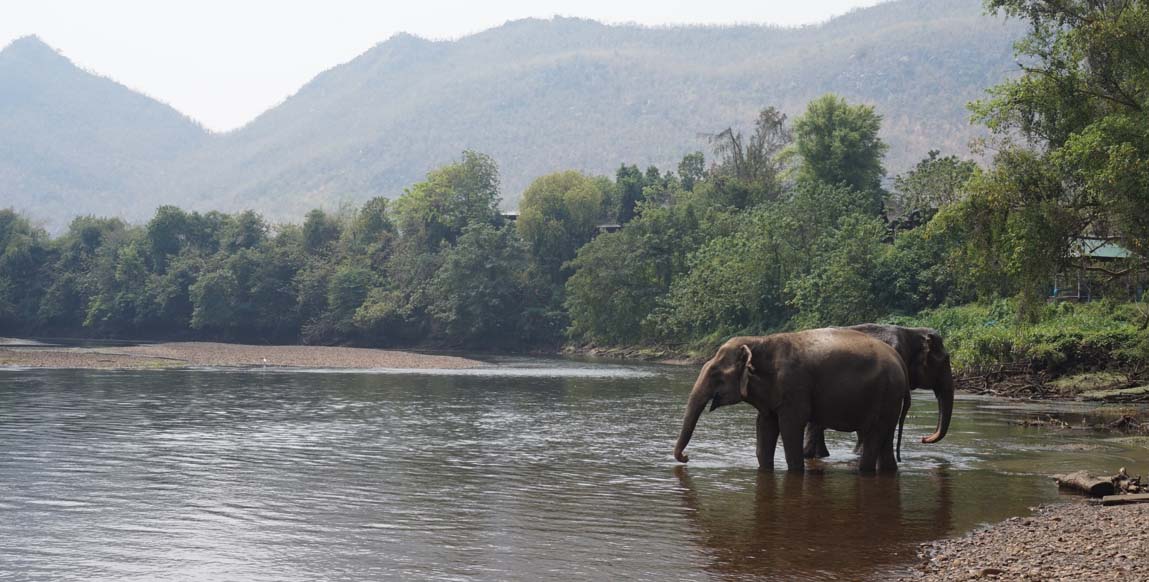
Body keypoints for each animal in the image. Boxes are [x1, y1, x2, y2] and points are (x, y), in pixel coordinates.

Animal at [671, 328, 910, 472]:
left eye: (716, 375)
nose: (686, 457)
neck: (759, 341)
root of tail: (901, 363)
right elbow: (765, 427)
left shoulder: (794, 387)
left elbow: (790, 427)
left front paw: (795, 471)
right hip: (890, 399)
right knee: (885, 440)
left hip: (886, 395)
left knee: (873, 436)